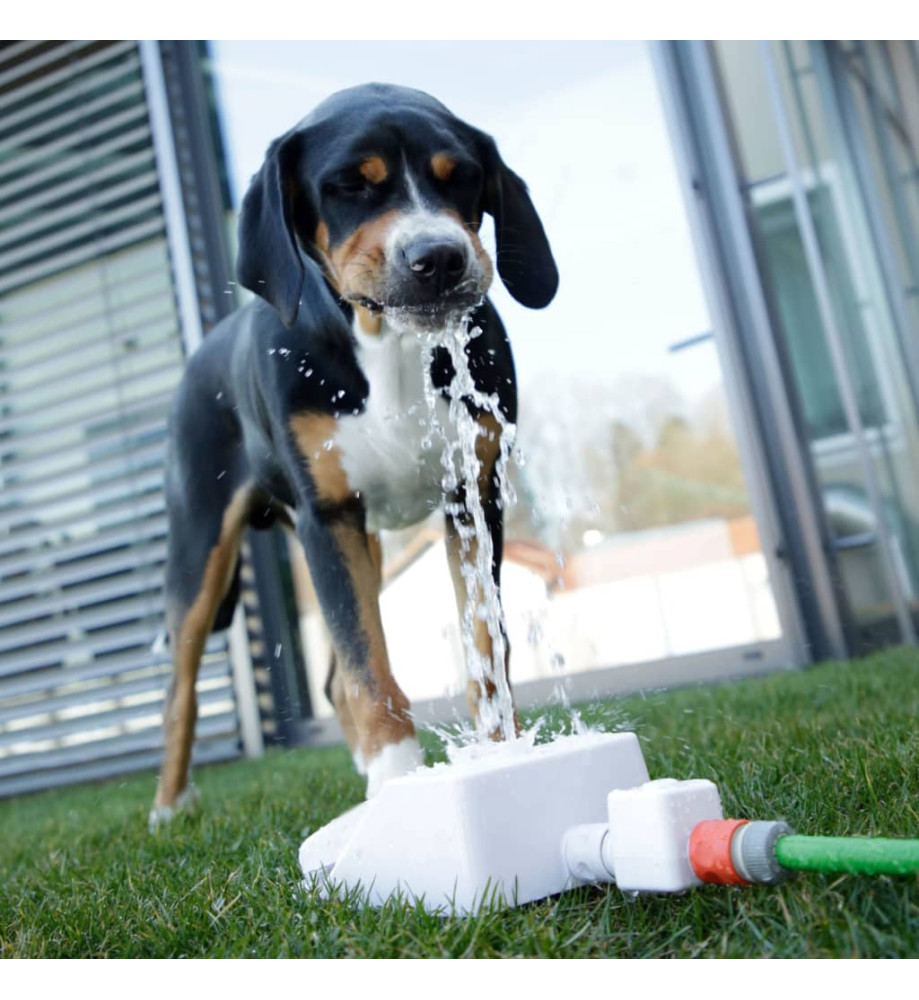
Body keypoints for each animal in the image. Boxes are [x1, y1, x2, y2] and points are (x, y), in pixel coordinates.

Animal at [151, 84, 556, 828]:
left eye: (462, 176)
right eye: (349, 185)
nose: (439, 257)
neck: (390, 345)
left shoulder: (473, 496)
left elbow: (485, 646)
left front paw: (500, 755)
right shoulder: (329, 518)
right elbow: (369, 668)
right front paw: (397, 778)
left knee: (333, 679)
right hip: (198, 550)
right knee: (180, 693)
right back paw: (170, 807)